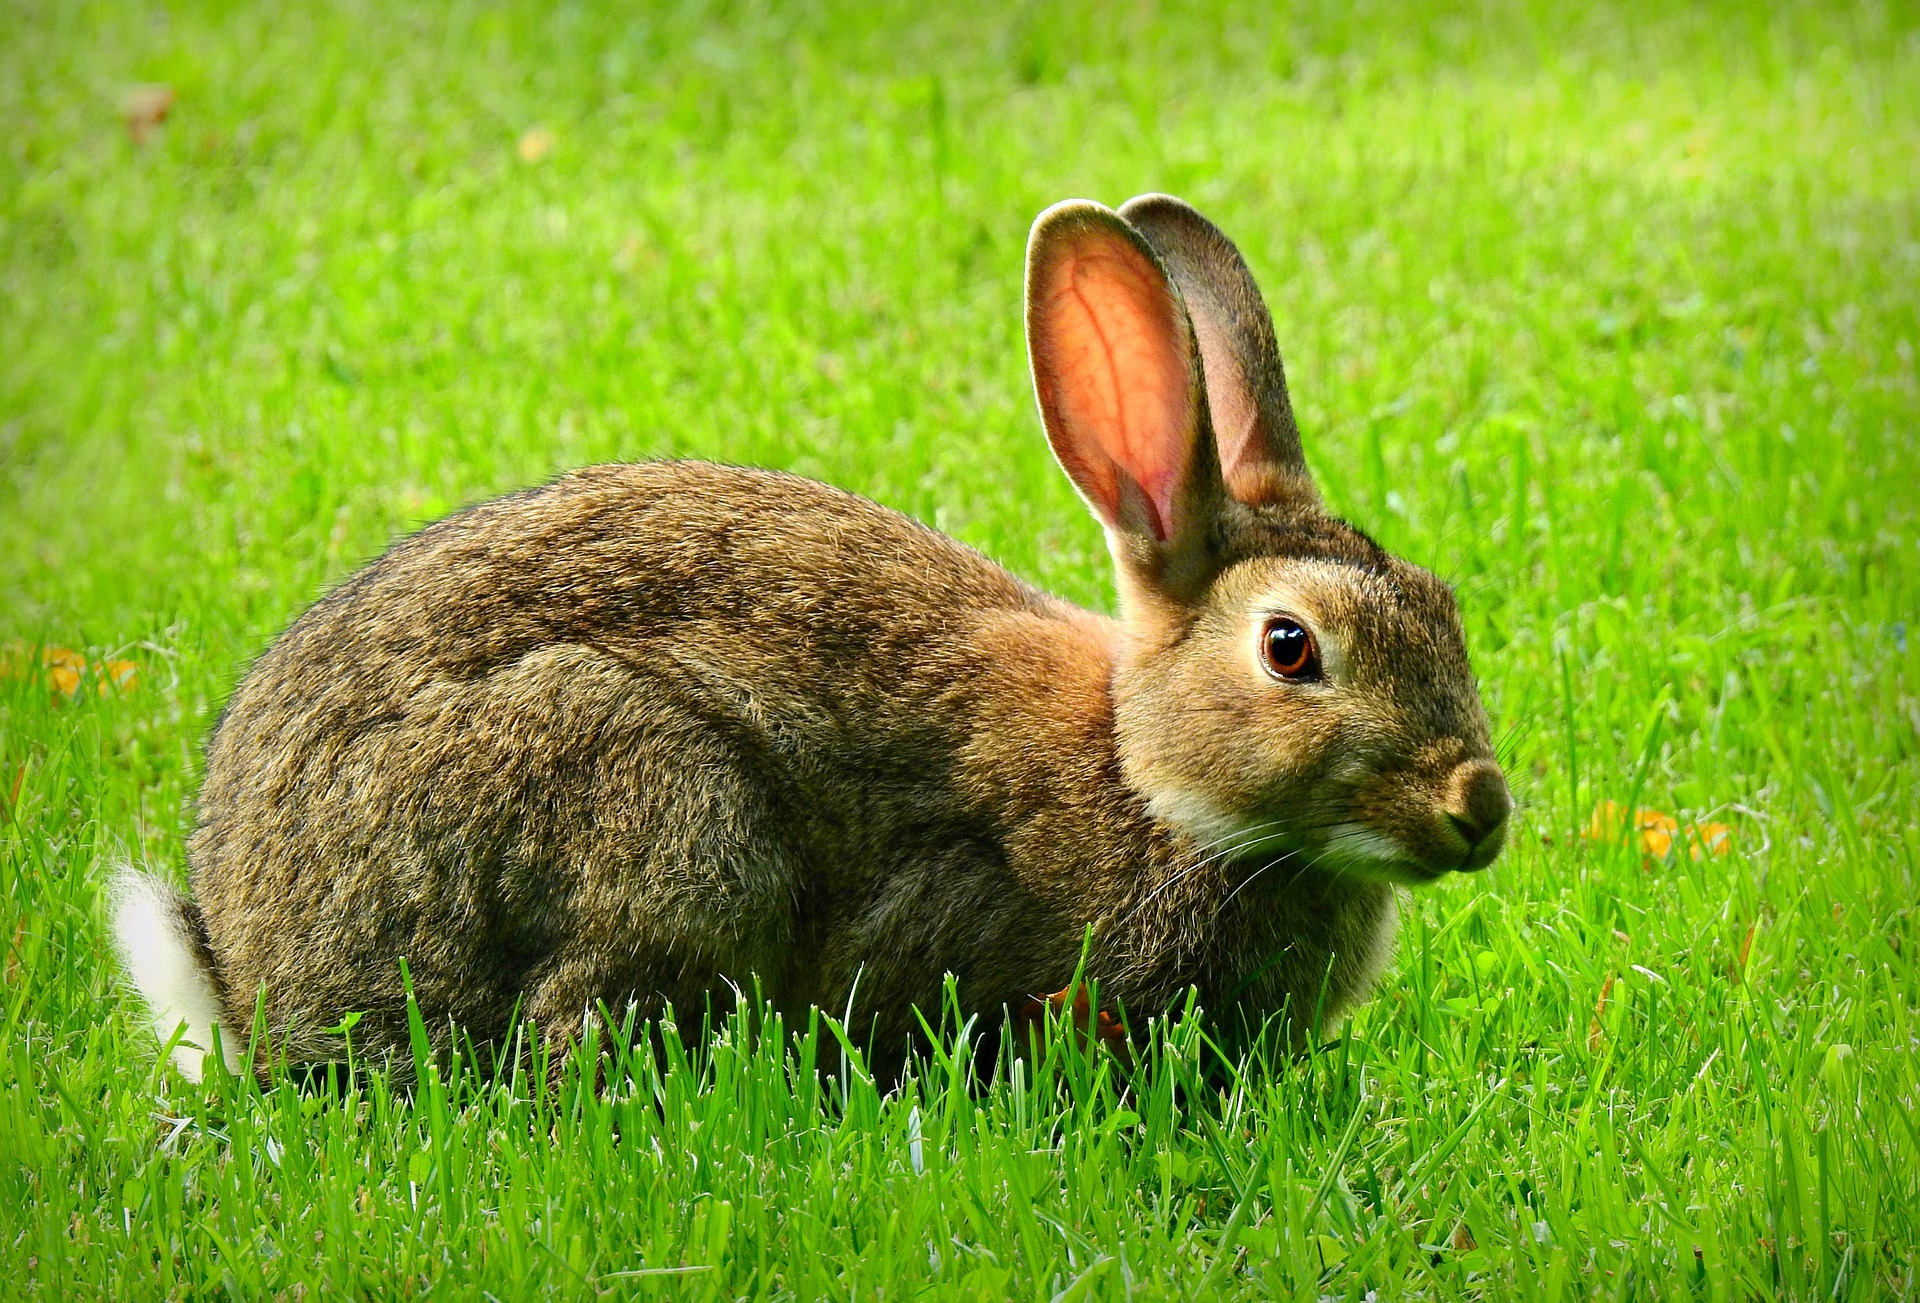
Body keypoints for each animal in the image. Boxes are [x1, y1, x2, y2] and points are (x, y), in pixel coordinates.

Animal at [113, 193, 1511, 1085]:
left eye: (1445, 605)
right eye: (1291, 648)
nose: (1481, 808)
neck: (1146, 777)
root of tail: (255, 983)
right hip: (652, 801)